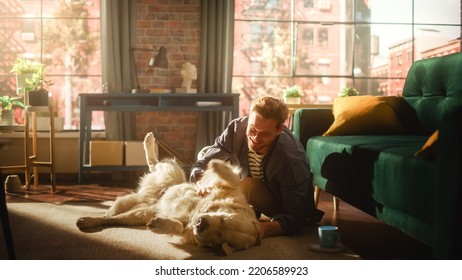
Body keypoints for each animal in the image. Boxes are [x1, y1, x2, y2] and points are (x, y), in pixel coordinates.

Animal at [76, 132, 260, 255]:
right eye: (222, 219)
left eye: (220, 235)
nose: (200, 224)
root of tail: (150, 197)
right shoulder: (225, 188)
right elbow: (233, 178)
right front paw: (216, 165)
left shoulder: (186, 229)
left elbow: (178, 226)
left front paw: (159, 224)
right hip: (173, 172)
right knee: (154, 163)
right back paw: (149, 140)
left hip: (139, 214)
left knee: (111, 218)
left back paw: (88, 221)